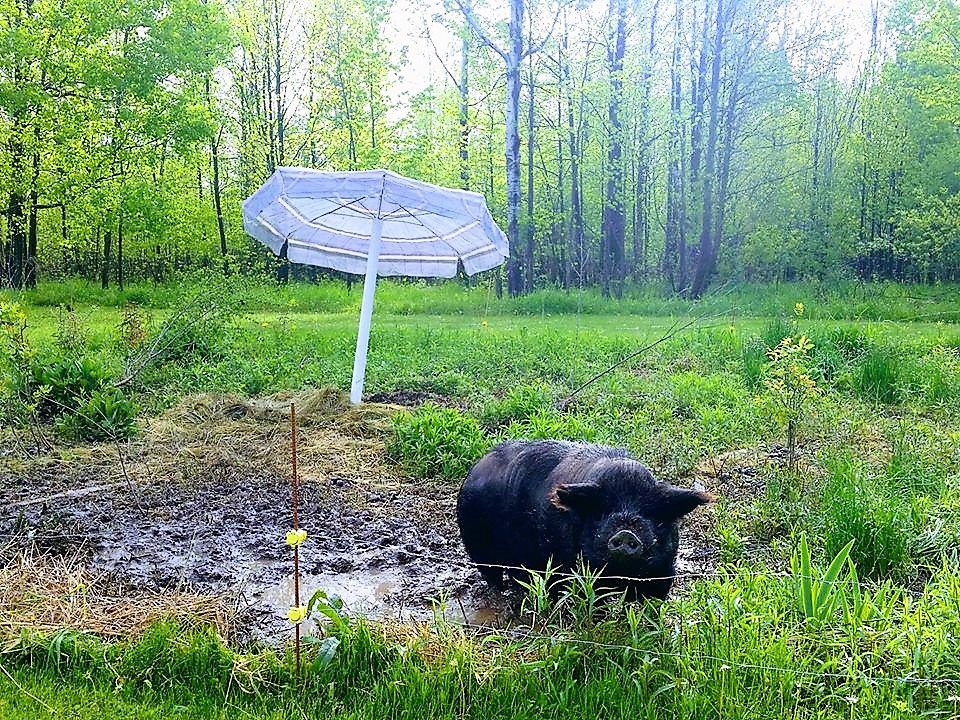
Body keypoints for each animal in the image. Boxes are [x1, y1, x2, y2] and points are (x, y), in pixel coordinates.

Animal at [456, 442, 712, 600]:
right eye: (602, 510)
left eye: (650, 512)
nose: (626, 532)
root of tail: (474, 471)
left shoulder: (663, 572)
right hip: (477, 546)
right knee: (492, 576)